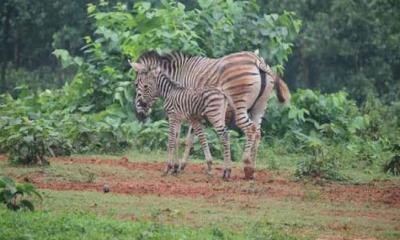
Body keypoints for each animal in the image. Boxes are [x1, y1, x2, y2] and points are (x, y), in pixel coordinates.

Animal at [132, 50, 290, 179]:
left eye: (137, 84)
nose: (139, 113)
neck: (178, 76)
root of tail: (257, 60)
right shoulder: (191, 112)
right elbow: (188, 139)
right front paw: (180, 166)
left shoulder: (185, 110)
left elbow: (182, 138)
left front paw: (176, 166)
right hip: (260, 107)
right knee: (257, 132)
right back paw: (251, 170)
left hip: (239, 104)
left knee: (249, 129)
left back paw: (245, 162)